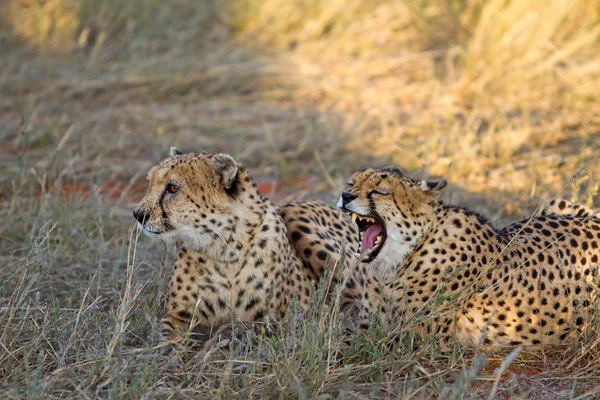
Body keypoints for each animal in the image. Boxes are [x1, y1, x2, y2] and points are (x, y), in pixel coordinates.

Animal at [133, 148, 354, 340]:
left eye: (172, 188)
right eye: (149, 184)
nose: (138, 214)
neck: (224, 247)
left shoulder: (277, 319)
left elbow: (238, 327)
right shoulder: (177, 314)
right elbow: (164, 336)